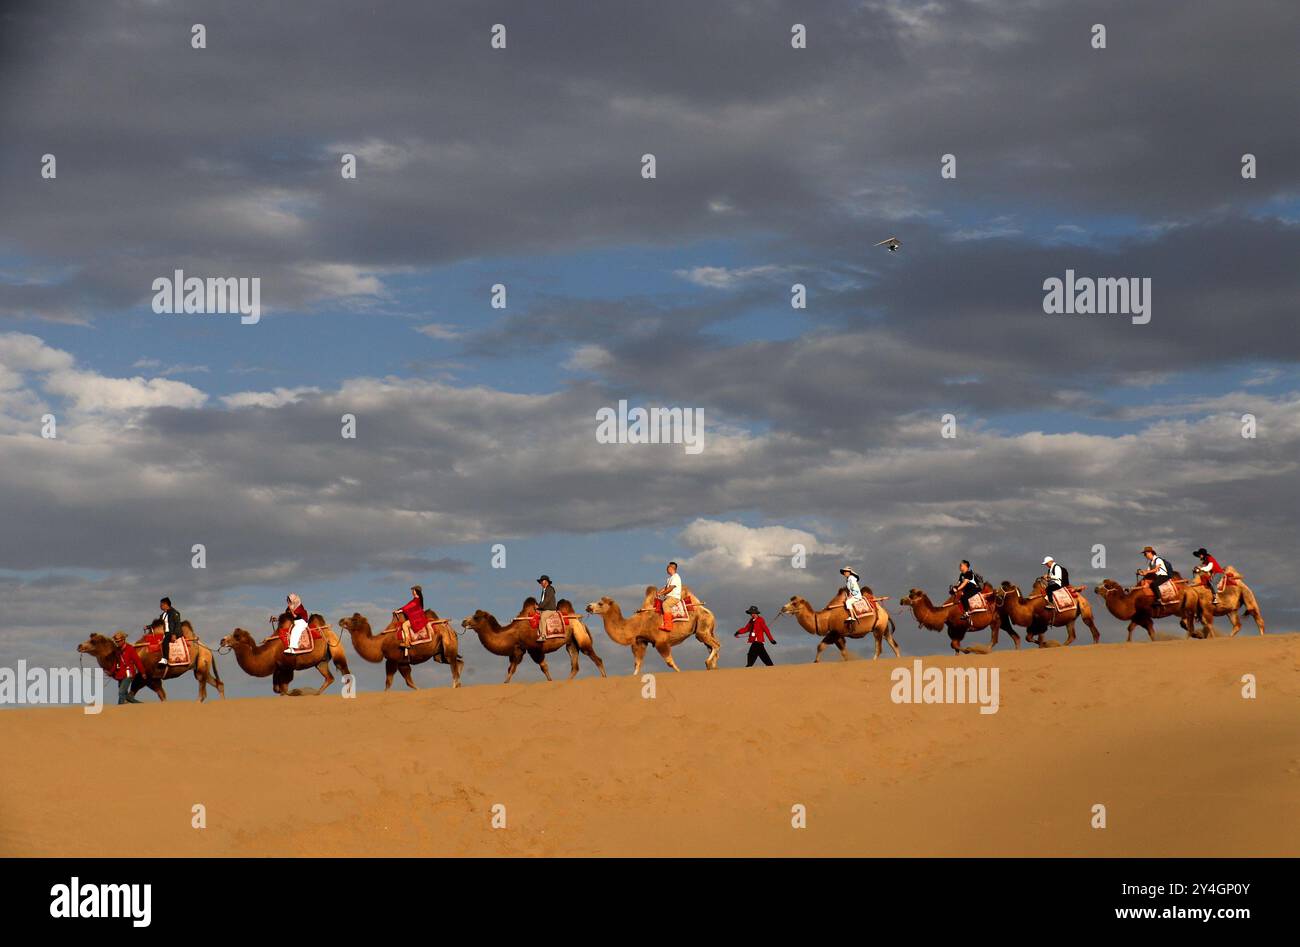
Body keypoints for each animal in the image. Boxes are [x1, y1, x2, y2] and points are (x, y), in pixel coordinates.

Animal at [76, 621, 224, 702]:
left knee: (203, 687)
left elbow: (132, 696)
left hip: (202, 662)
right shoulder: (151, 679)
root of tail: (206, 647)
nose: (79, 646)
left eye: (93, 641)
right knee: (217, 683)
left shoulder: (146, 678)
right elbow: (161, 696)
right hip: (200, 665)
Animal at [218, 613, 353, 697]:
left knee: (344, 671)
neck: (270, 652)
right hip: (321, 661)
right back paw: (316, 693)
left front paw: (296, 692)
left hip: (335, 647)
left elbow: (284, 688)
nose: (222, 640)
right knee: (329, 677)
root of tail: (328, 629)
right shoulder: (278, 669)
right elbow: (277, 689)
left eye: (236, 636)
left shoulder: (288, 667)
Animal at [460, 595, 605, 686]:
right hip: (571, 642)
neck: (513, 633)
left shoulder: (534, 649)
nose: (463, 621)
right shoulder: (519, 650)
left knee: (595, 657)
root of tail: (580, 621)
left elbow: (542, 667)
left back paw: (604, 678)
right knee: (575, 665)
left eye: (476, 617)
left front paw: (550, 681)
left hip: (581, 637)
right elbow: (511, 668)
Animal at [587, 587, 722, 676]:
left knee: (716, 644)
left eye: (600, 603)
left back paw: (708, 663)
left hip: (702, 627)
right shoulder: (640, 641)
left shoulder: (660, 641)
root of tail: (707, 610)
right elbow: (637, 664)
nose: (588, 606)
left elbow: (669, 662)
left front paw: (680, 672)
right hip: (705, 629)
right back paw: (713, 667)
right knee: (712, 645)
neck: (636, 624)